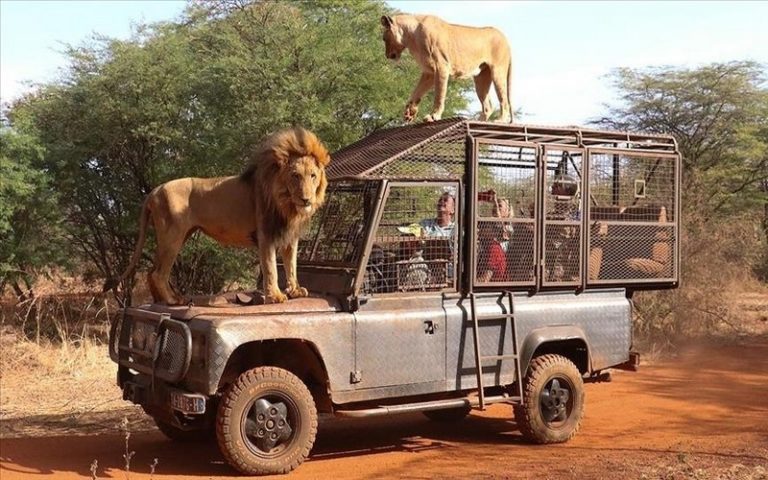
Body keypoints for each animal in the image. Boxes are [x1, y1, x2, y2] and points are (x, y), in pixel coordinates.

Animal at [107, 127, 331, 305]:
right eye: (295, 176)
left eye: (313, 176)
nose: (306, 199)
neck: (287, 204)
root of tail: (155, 190)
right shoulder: (265, 234)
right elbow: (271, 268)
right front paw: (275, 296)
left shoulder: (290, 236)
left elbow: (291, 265)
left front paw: (295, 290)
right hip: (173, 237)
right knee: (158, 273)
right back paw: (172, 300)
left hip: (175, 236)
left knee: (152, 271)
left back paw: (162, 300)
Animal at [380, 14, 513, 124]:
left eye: (384, 39)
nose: (386, 55)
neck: (410, 37)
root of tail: (506, 39)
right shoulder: (429, 72)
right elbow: (417, 92)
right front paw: (410, 112)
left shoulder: (441, 66)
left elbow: (439, 95)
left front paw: (433, 116)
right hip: (481, 78)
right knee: (488, 105)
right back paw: (478, 121)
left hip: (498, 72)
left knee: (504, 100)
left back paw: (500, 120)